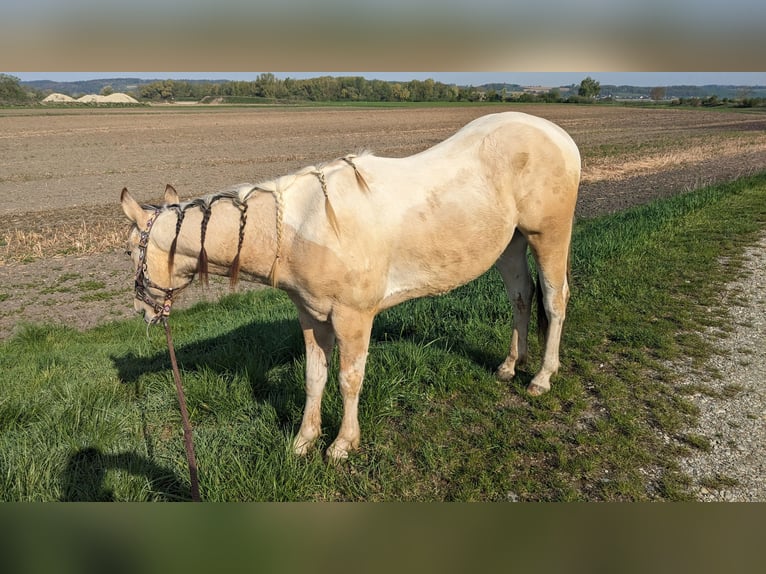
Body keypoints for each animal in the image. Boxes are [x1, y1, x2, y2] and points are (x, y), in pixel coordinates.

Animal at [120, 111, 580, 464]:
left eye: (127, 250)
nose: (144, 311)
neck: (301, 228)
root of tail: (559, 136)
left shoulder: (353, 318)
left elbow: (349, 379)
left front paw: (342, 445)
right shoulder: (312, 317)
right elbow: (314, 377)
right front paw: (303, 441)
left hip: (549, 237)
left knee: (555, 300)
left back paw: (542, 377)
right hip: (511, 244)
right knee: (521, 298)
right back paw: (509, 366)